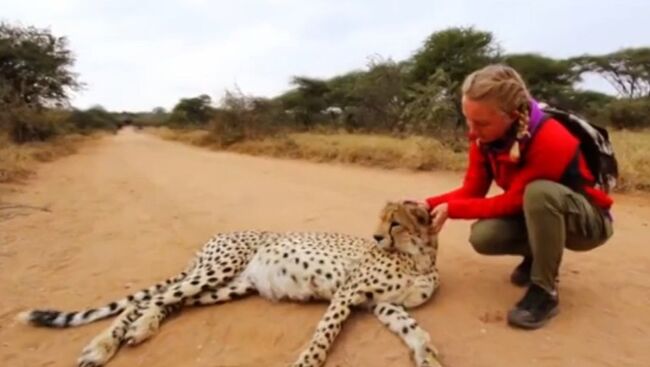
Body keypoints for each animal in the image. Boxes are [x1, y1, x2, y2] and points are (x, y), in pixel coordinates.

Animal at [16, 201, 440, 367]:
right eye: (381, 220)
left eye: (395, 222)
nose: (376, 237)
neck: (418, 258)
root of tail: (216, 237)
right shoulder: (350, 292)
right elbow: (325, 333)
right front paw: (306, 361)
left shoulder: (385, 304)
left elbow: (414, 329)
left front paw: (428, 355)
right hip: (215, 270)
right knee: (145, 301)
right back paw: (103, 346)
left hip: (229, 285)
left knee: (166, 302)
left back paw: (143, 328)